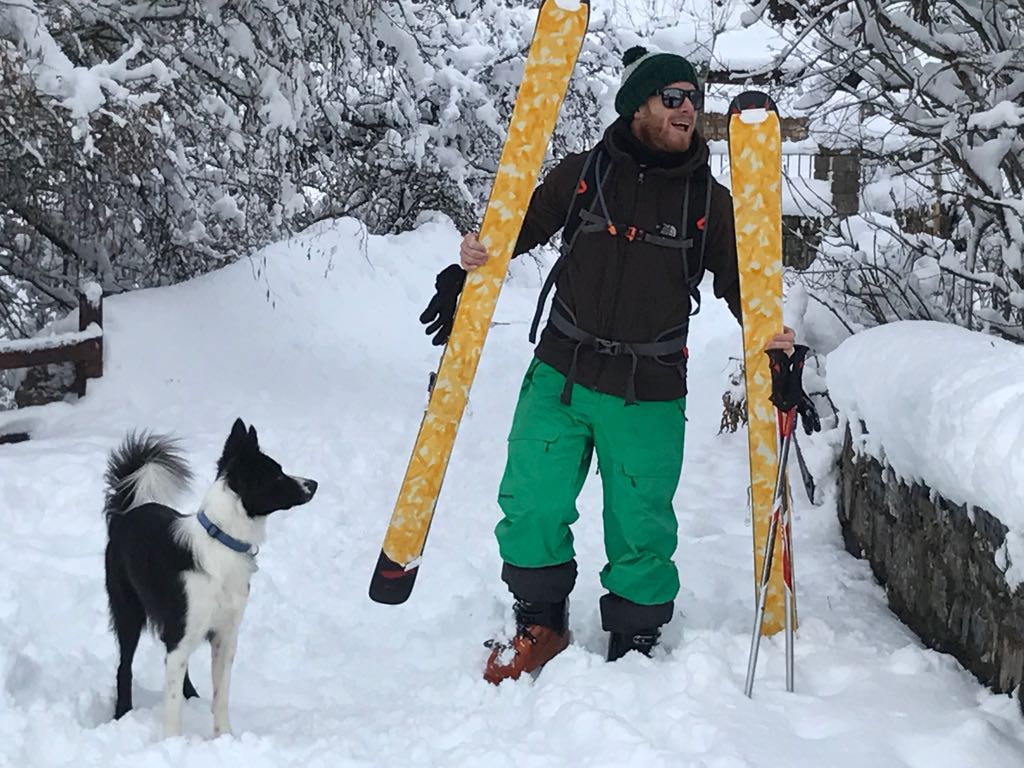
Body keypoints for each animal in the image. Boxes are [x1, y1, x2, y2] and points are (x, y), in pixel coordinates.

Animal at [102, 421, 315, 741]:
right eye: (277, 474)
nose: (313, 484)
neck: (223, 541)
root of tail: (126, 514)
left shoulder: (224, 636)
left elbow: (221, 693)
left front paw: (224, 737)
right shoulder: (181, 631)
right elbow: (172, 704)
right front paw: (172, 743)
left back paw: (191, 696)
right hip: (129, 612)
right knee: (123, 667)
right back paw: (122, 712)